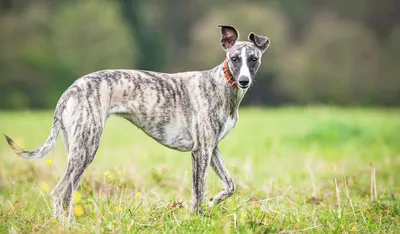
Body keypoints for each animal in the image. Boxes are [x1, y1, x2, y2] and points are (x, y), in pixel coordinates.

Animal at [4, 24, 270, 218]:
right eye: (234, 58)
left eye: (253, 59)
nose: (244, 81)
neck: (222, 86)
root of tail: (71, 90)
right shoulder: (201, 151)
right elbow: (198, 193)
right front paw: (198, 218)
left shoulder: (212, 148)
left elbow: (230, 185)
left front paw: (215, 202)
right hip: (87, 147)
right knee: (60, 193)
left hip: (77, 148)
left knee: (68, 192)